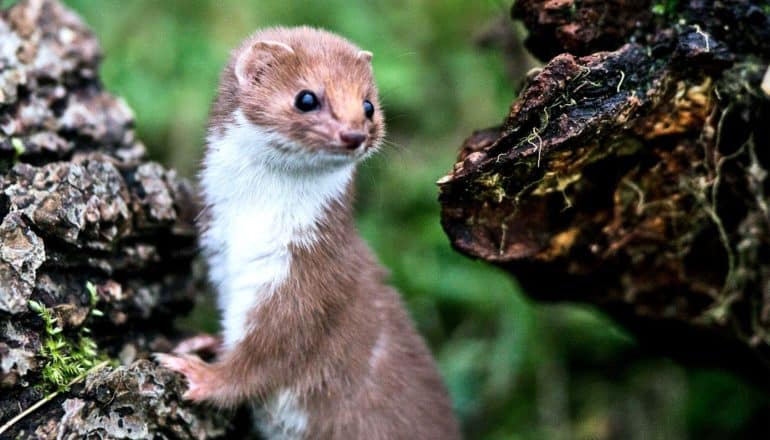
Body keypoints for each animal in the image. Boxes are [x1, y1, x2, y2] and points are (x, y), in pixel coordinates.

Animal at [153, 25, 460, 438]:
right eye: (307, 98)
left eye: (368, 105)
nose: (354, 134)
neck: (248, 227)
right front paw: (204, 342)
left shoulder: (307, 280)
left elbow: (267, 357)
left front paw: (198, 373)